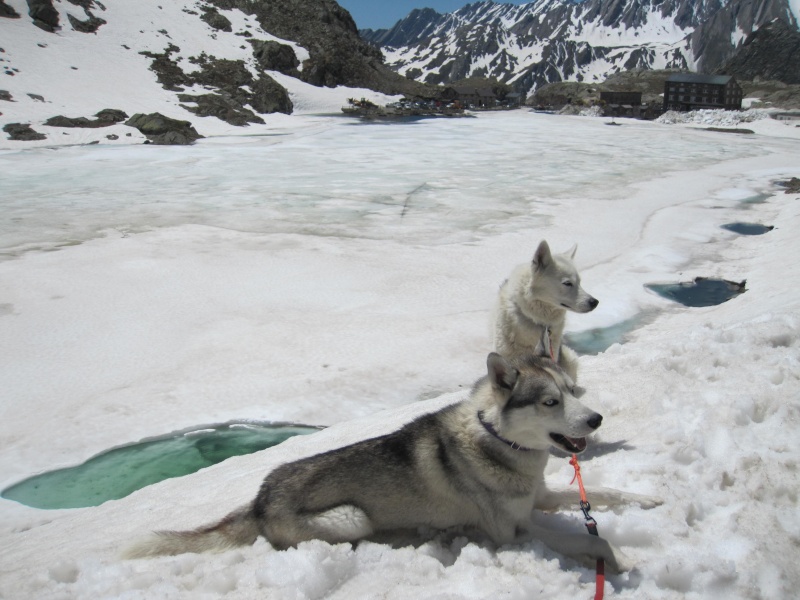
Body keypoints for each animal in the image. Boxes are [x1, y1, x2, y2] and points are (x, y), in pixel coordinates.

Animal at [125, 332, 660, 572]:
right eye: (550, 402)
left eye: (573, 390)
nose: (596, 420)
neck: (499, 442)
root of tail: (259, 498)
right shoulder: (514, 531)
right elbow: (593, 541)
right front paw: (623, 560)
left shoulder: (540, 498)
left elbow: (606, 492)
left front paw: (649, 500)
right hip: (351, 518)